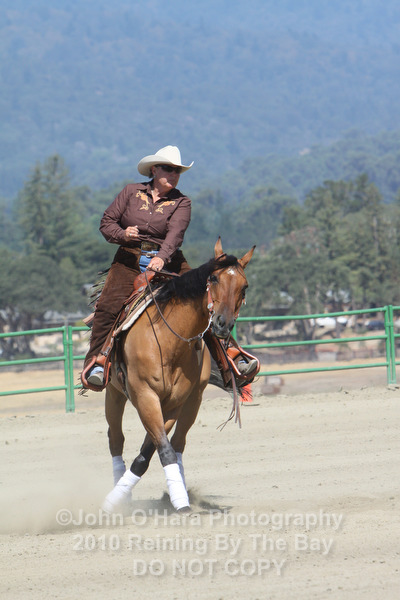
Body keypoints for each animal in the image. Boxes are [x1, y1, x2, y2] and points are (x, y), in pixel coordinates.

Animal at [102, 238, 255, 513]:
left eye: (244, 286)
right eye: (213, 278)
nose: (222, 323)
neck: (167, 341)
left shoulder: (175, 400)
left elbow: (153, 450)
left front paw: (179, 497)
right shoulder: (144, 395)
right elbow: (161, 448)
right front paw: (114, 499)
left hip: (194, 400)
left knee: (179, 442)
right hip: (114, 393)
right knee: (116, 438)